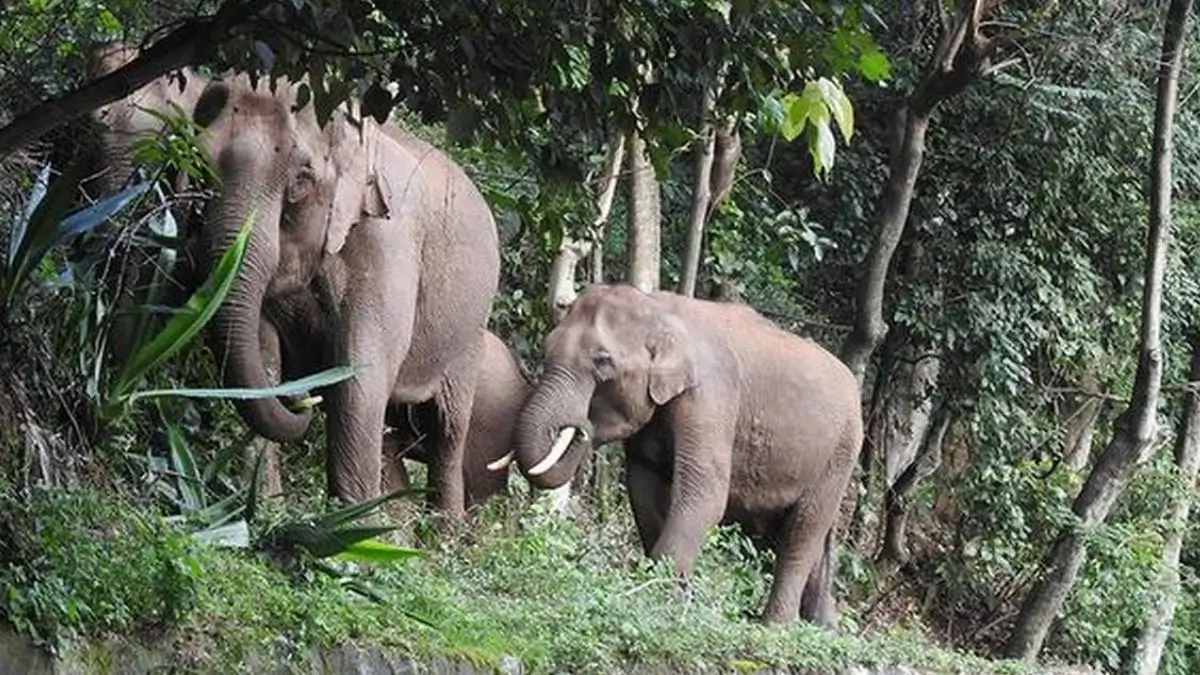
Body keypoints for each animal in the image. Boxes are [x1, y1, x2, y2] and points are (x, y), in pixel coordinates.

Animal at [188, 74, 500, 514]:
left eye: (301, 181)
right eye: (200, 163)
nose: (301, 400)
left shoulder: (386, 241)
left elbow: (361, 372)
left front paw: (350, 529)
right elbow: (264, 351)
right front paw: (265, 511)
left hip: (469, 338)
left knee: (447, 433)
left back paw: (441, 528)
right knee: (391, 432)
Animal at [503, 284, 862, 626]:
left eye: (603, 361)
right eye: (547, 345)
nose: (581, 426)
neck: (660, 309)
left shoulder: (710, 395)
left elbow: (705, 493)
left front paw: (658, 596)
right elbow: (643, 487)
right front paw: (669, 590)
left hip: (841, 454)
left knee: (802, 531)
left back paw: (776, 625)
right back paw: (825, 628)